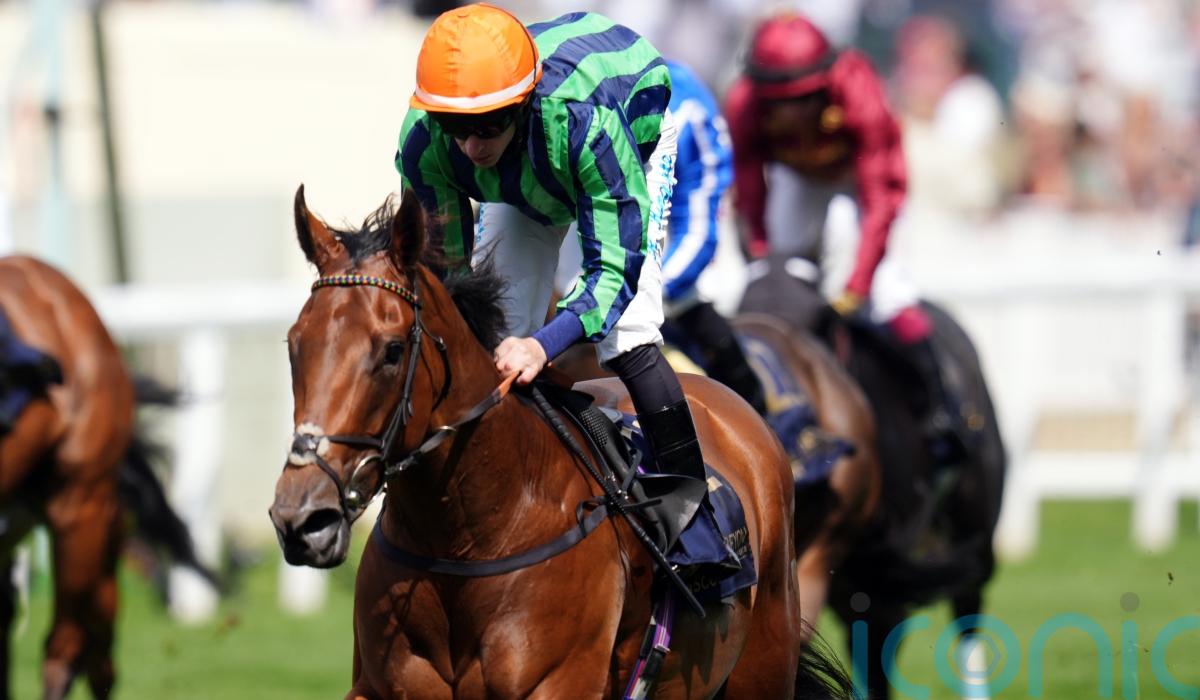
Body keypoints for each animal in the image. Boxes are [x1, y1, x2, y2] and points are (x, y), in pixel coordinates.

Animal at [269, 187, 853, 699]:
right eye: (294, 344)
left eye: (391, 351)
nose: (303, 518)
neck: (470, 533)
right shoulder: (378, 685)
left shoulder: (555, 683)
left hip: (762, 663)